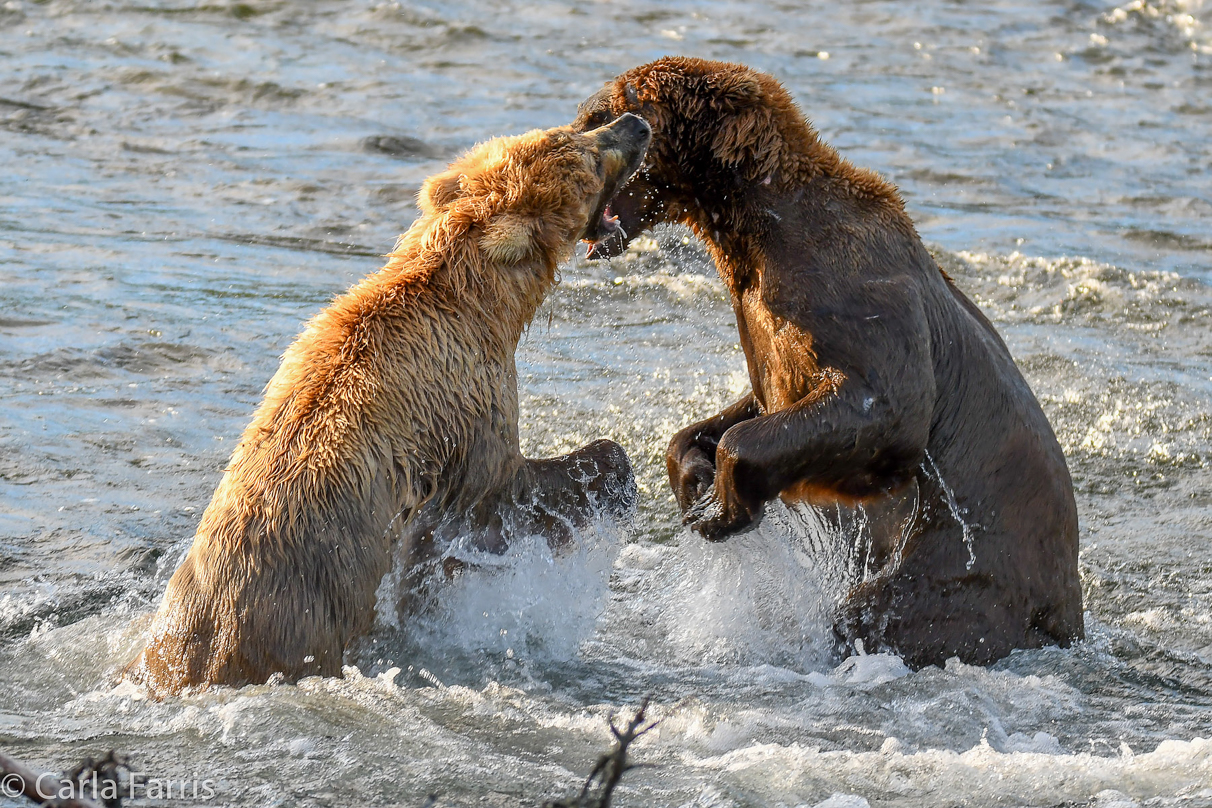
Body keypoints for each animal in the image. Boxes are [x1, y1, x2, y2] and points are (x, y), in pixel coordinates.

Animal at [572, 53, 1085, 668]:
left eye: (596, 114)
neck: (753, 230)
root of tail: (1067, 612)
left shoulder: (854, 294)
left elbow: (885, 405)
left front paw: (723, 506)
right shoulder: (766, 328)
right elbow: (753, 408)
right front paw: (694, 480)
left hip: (965, 564)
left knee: (890, 611)